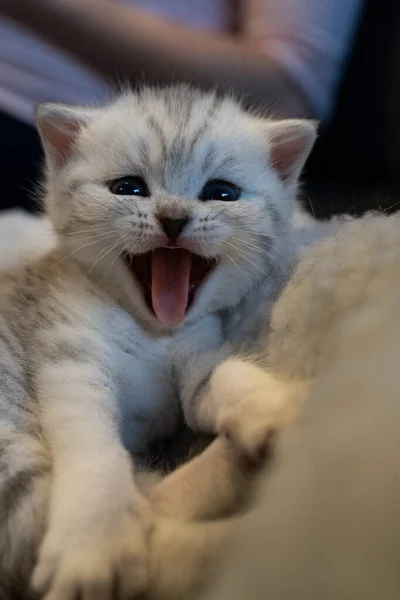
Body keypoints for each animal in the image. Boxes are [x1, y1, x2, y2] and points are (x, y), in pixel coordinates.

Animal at [0, 85, 316, 600]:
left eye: (221, 192)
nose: (173, 218)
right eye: (128, 188)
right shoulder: (70, 360)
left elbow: (225, 376)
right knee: (153, 537)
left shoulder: (200, 355)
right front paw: (94, 541)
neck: (151, 330)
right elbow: (95, 451)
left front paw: (271, 404)